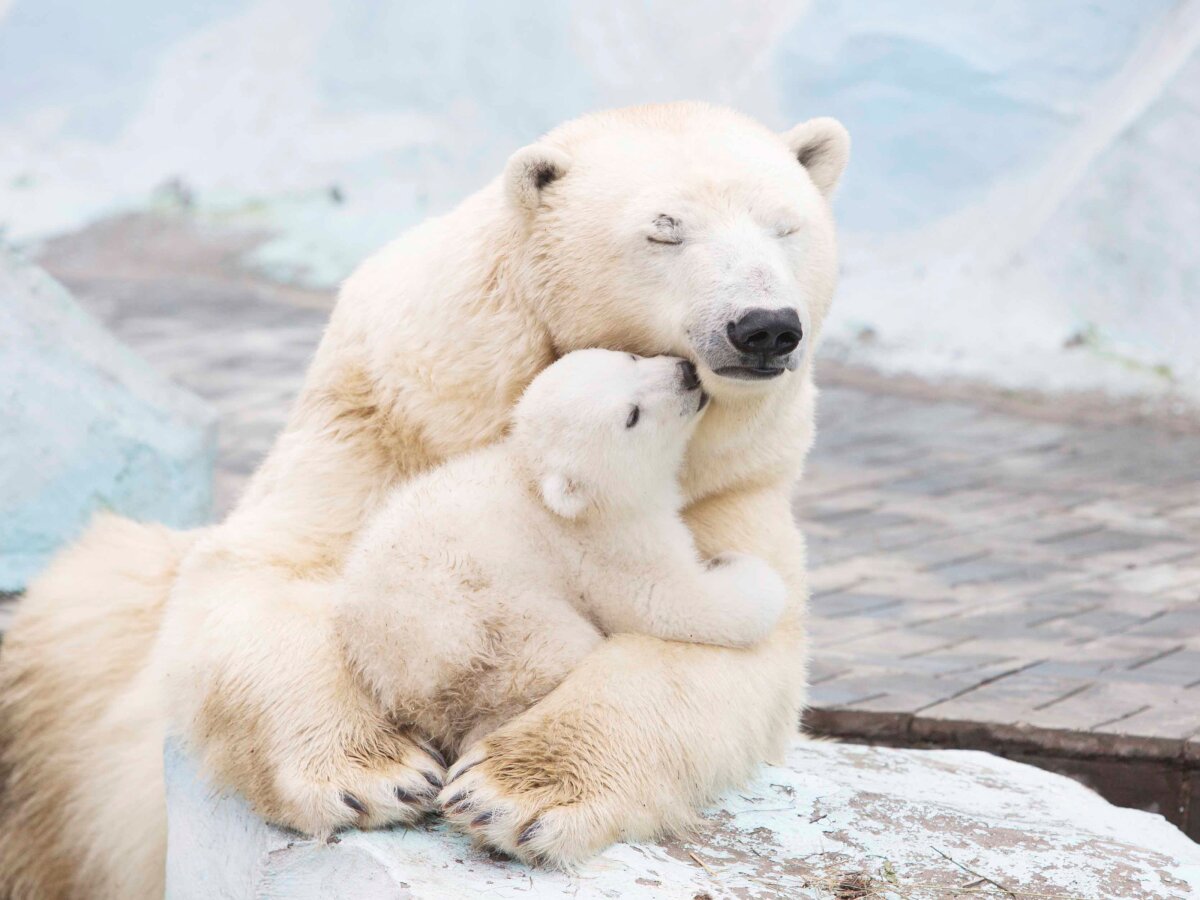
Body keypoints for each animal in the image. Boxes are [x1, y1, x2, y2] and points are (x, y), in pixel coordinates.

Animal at [336, 348, 787, 772]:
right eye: (632, 416)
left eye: (631, 357)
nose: (688, 374)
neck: (540, 485)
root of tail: (400, 682)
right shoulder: (607, 544)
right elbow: (669, 604)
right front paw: (740, 568)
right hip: (497, 630)